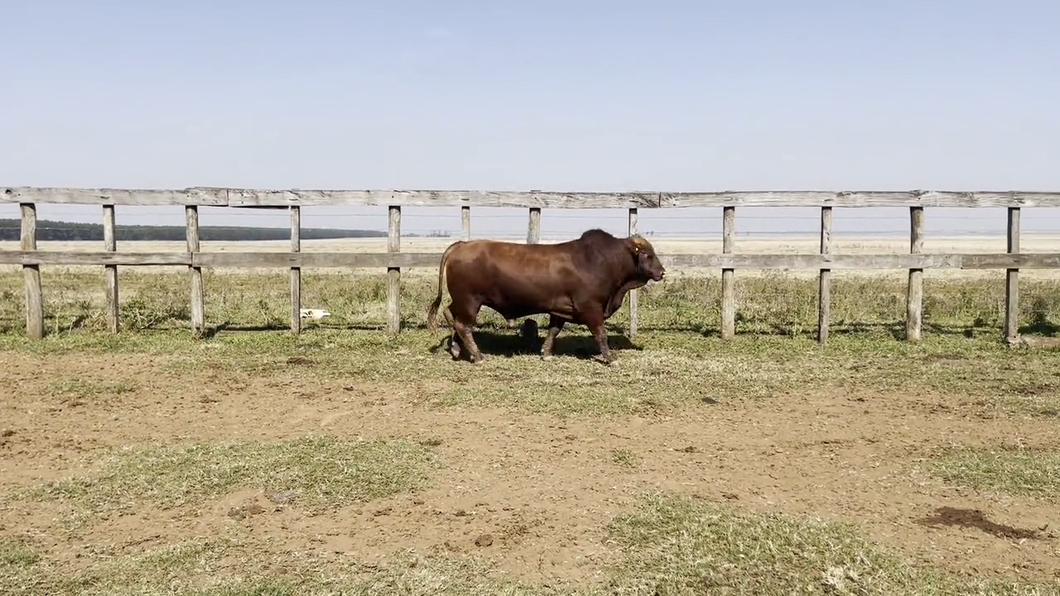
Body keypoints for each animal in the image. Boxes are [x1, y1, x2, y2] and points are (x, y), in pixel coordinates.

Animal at [423, 228, 661, 362]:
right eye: (647, 254)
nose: (662, 271)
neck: (601, 260)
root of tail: (462, 245)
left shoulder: (561, 309)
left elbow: (554, 330)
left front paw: (546, 353)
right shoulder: (591, 308)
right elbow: (601, 334)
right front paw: (610, 357)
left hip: (462, 301)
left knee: (451, 316)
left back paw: (457, 349)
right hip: (470, 301)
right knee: (462, 325)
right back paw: (478, 356)